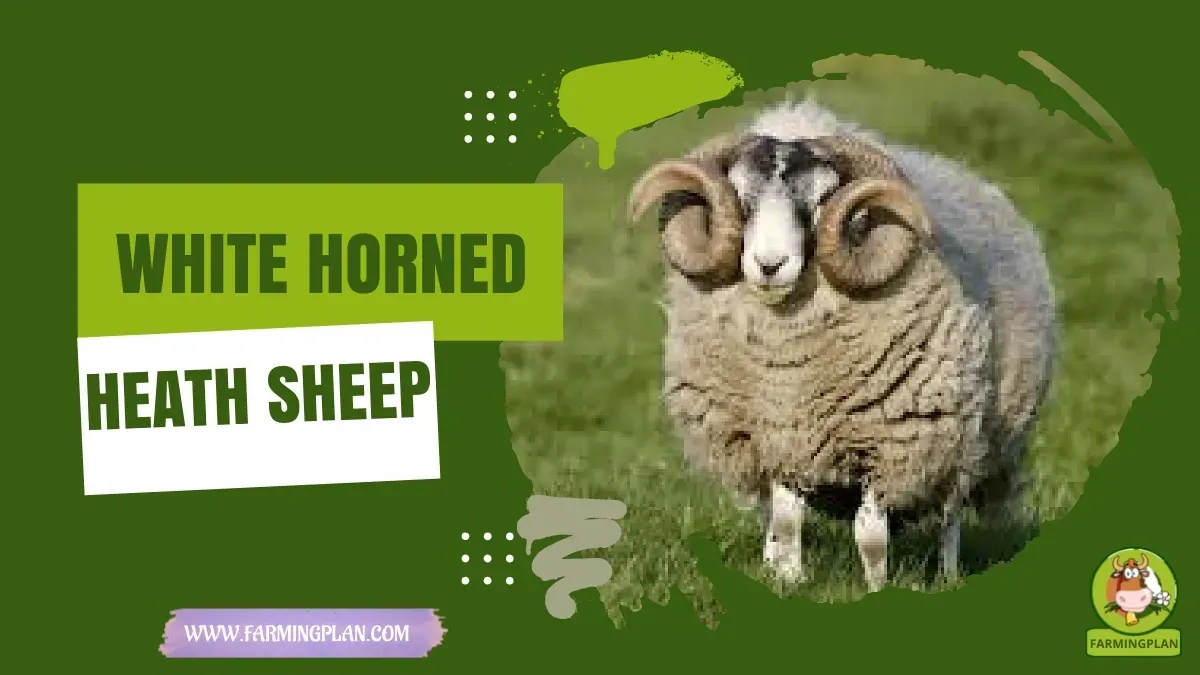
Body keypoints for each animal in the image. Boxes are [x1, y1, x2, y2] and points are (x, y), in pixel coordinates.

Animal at [626, 99, 1057, 592]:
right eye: (741, 197)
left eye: (820, 200)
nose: (769, 265)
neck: (788, 366)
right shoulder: (782, 435)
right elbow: (787, 519)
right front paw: (789, 579)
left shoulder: (892, 443)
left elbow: (870, 533)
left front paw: (876, 589)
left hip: (965, 437)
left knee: (951, 512)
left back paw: (948, 575)